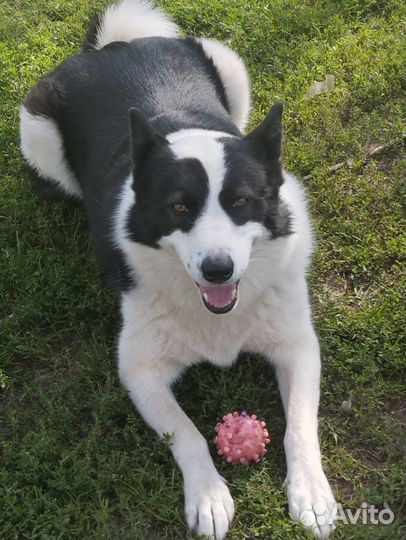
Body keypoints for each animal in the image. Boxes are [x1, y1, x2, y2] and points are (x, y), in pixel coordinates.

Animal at [19, 1, 336, 536]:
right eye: (179, 208)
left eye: (241, 202)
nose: (217, 270)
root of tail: (115, 46)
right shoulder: (138, 370)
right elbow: (188, 433)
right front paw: (208, 496)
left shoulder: (297, 347)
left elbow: (299, 426)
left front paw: (310, 492)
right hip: (36, 128)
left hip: (230, 65)